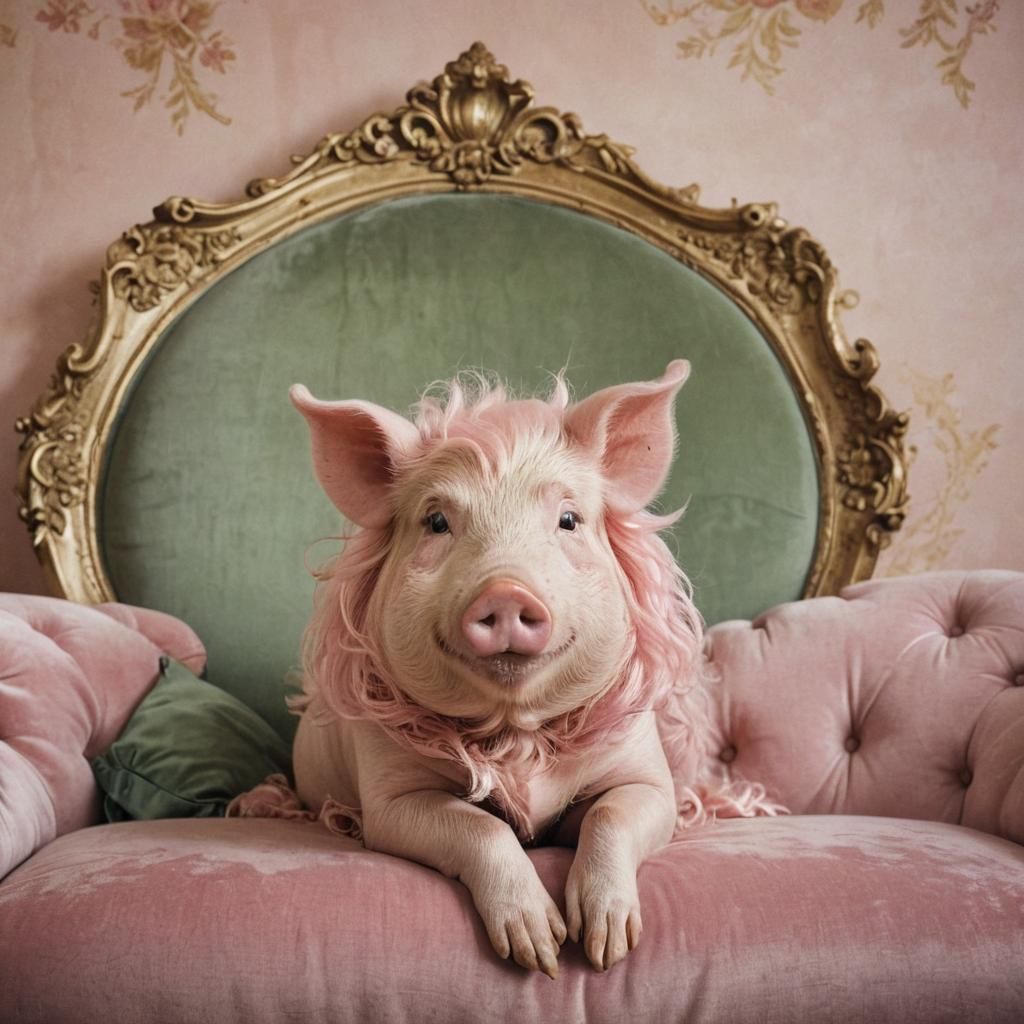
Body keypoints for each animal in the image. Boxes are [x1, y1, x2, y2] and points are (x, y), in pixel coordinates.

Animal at [288, 361, 761, 977]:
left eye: (569, 520)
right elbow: (479, 825)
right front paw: (543, 952)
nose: (506, 589)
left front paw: (606, 947)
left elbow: (612, 815)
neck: (518, 734)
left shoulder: (645, 773)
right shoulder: (390, 798)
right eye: (436, 521)